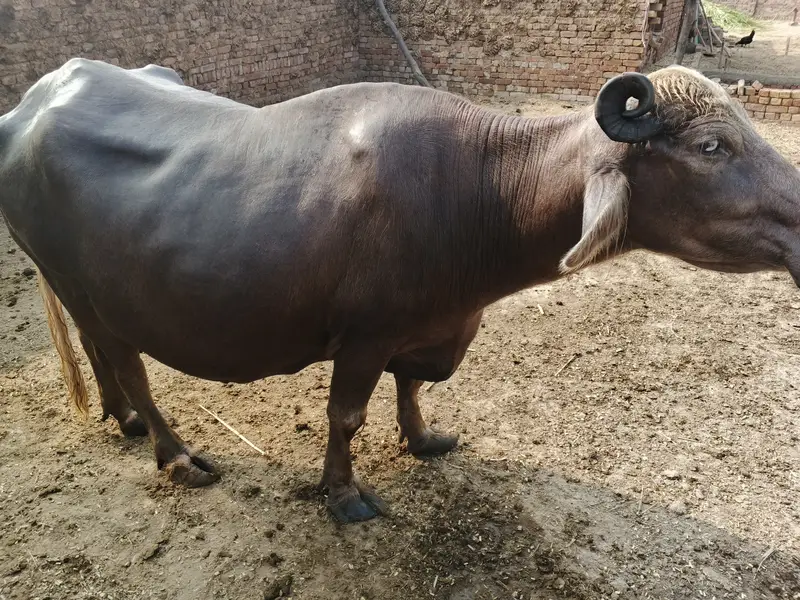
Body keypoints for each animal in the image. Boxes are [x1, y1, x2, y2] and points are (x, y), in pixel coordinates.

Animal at [1, 59, 798, 522]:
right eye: (711, 146)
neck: (480, 189)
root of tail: (30, 105)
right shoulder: (365, 335)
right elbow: (347, 415)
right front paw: (345, 495)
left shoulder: (433, 326)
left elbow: (414, 385)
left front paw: (422, 441)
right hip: (88, 292)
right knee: (131, 366)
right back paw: (175, 455)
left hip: (79, 293)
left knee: (101, 358)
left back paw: (125, 422)